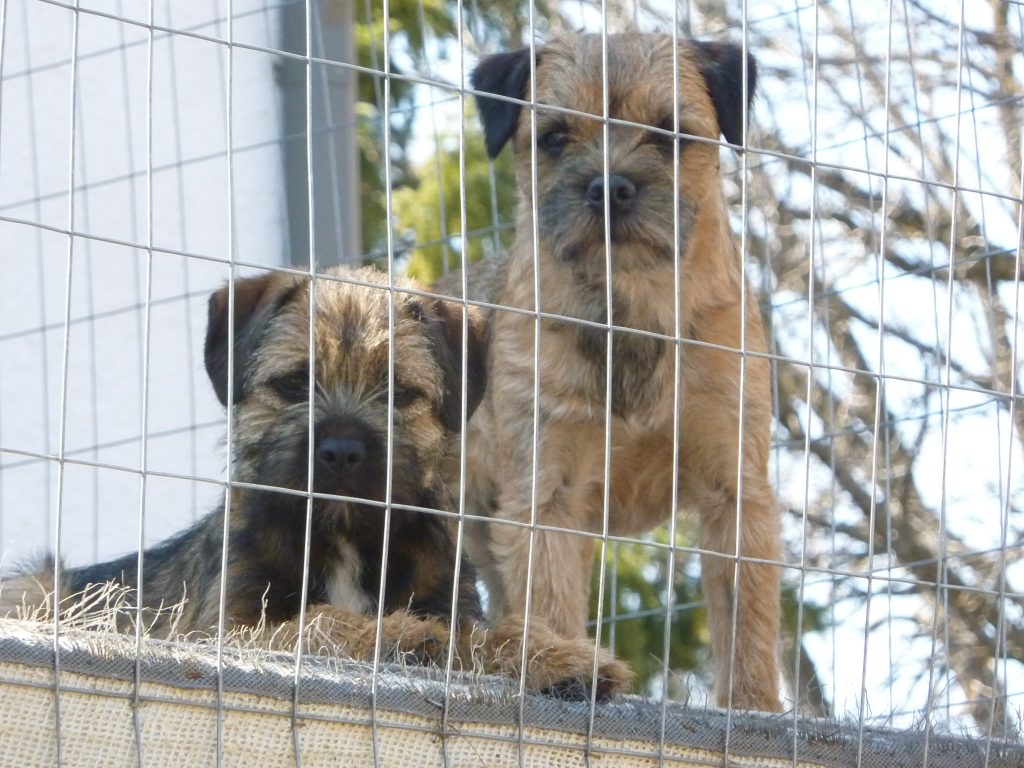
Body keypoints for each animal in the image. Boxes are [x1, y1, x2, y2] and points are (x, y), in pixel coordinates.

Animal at [0, 268, 626, 700]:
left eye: (399, 394)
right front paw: (392, 636)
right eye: (295, 384)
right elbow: (312, 621)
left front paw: (562, 657)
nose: (342, 451)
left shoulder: (448, 603)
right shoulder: (227, 632)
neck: (343, 535)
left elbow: (492, 632)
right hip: (35, 587)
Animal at [438, 33, 782, 712]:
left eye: (669, 133)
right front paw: (566, 663)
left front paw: (755, 708)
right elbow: (550, 599)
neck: (633, 309)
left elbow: (747, 618)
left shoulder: (735, 489)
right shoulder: (547, 493)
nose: (610, 186)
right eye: (554, 138)